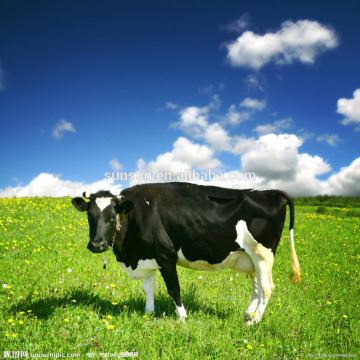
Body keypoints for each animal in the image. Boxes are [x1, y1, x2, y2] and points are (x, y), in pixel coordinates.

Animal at [71, 181, 300, 324]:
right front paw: (148, 313)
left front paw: (182, 317)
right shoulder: (147, 256)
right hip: (249, 257)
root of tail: (272, 192)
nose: (97, 245)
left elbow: (174, 289)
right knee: (256, 287)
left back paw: (253, 322)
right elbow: (147, 289)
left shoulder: (165, 255)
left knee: (266, 288)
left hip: (262, 254)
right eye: (90, 216)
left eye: (112, 217)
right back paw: (247, 315)